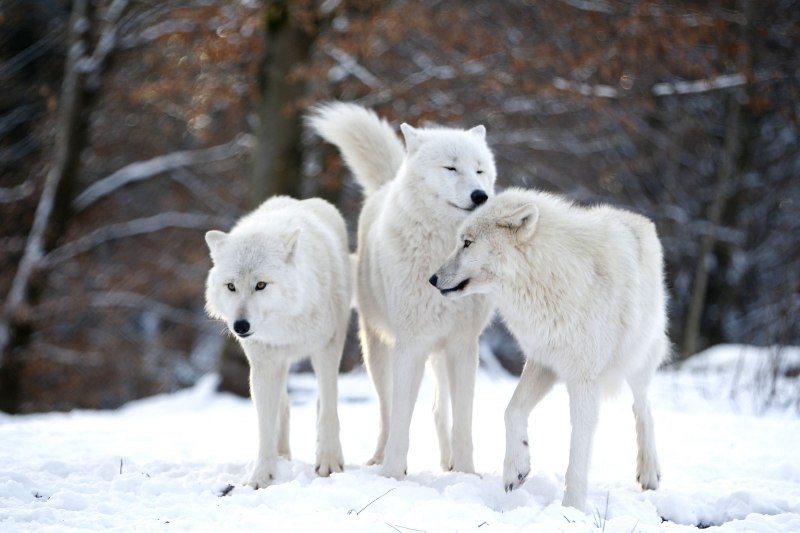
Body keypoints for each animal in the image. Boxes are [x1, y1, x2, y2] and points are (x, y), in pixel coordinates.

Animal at [204, 196, 350, 488]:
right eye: (231, 286)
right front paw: (262, 476)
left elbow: (328, 410)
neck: (285, 325)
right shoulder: (264, 364)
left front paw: (329, 463)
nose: (240, 326)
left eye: (261, 285)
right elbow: (265, 426)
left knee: (320, 403)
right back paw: (282, 457)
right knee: (284, 405)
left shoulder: (327, 348)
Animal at [308, 102, 496, 478]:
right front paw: (393, 474)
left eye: (480, 170)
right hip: (379, 351)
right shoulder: (411, 345)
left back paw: (448, 464)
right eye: (451, 167)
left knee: (439, 410)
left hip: (438, 355)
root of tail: (387, 183)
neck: (442, 254)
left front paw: (467, 474)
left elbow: (463, 422)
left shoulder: (463, 346)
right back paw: (379, 458)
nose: (480, 196)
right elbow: (400, 419)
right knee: (386, 410)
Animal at [430, 187, 668, 510]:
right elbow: (511, 410)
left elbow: (578, 451)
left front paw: (573, 508)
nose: (432, 279)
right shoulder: (543, 362)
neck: (546, 277)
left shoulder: (583, 379)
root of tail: (639, 219)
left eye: (467, 243)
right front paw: (515, 469)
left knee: (642, 407)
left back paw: (649, 471)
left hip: (637, 360)